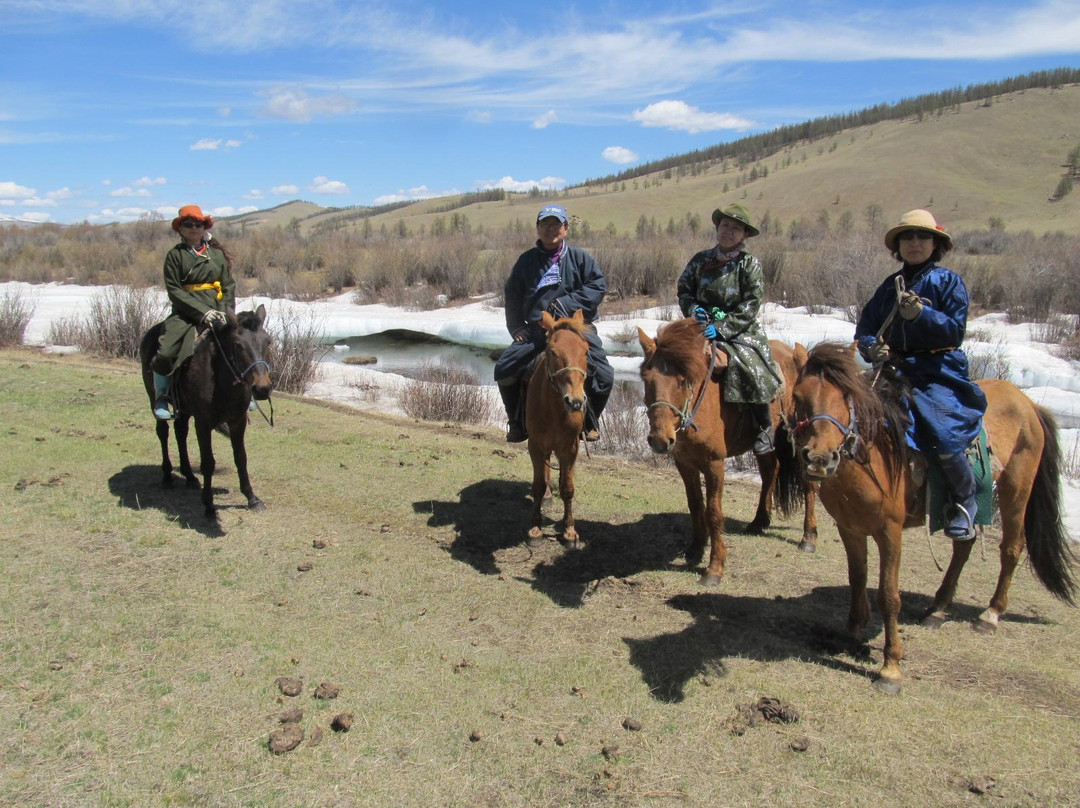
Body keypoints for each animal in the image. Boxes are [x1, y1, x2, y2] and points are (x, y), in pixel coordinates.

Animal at [139, 302, 272, 518]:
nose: (262, 389)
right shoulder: (203, 423)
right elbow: (208, 462)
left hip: (184, 410)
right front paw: (209, 506)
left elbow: (241, 458)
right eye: (238, 344)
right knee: (163, 432)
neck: (221, 381)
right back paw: (167, 476)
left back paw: (189, 476)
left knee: (180, 432)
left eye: (267, 342)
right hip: (154, 396)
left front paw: (252, 498)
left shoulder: (237, 421)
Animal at [522, 308, 591, 548]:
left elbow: (568, 488)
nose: (576, 402)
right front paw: (535, 529)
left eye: (586, 351)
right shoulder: (535, 446)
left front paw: (570, 531)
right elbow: (538, 485)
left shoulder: (570, 448)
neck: (554, 409)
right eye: (552, 351)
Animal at [630, 317, 816, 587]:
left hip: (802, 440)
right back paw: (759, 522)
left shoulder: (714, 464)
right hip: (764, 447)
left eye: (683, 380)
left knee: (809, 485)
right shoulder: (684, 463)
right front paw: (695, 549)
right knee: (770, 472)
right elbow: (695, 504)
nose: (660, 440)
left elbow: (714, 512)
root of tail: (794, 353)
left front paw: (714, 568)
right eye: (647, 378)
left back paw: (808, 537)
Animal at [781, 341, 1075, 695]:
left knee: (1011, 549)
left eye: (847, 397)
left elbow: (888, 595)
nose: (819, 459)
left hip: (1016, 489)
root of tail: (1028, 402)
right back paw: (938, 608)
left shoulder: (889, 532)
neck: (872, 457)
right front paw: (851, 633)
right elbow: (857, 579)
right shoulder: (849, 528)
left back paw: (990, 614)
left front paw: (890, 667)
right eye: (799, 396)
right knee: (964, 546)